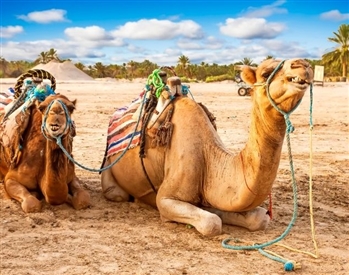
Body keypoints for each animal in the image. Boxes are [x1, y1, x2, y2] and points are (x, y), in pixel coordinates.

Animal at [0, 69, 89, 213]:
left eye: (71, 108)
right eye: (42, 107)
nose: (56, 113)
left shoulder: (72, 176)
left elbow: (83, 200)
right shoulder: (11, 178)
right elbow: (31, 204)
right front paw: (36, 194)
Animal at [100, 58, 312, 237]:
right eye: (266, 73)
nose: (303, 64)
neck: (209, 155)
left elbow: (259, 218)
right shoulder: (166, 198)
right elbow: (212, 223)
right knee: (116, 193)